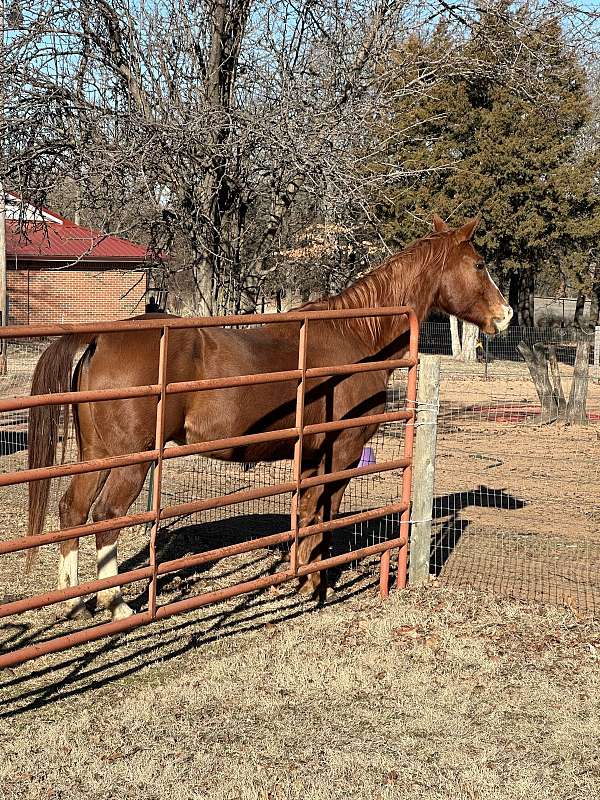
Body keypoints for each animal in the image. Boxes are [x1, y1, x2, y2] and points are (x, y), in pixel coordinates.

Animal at [24, 217, 510, 620]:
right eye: (479, 264)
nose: (504, 315)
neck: (356, 334)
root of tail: (100, 337)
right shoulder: (343, 452)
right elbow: (325, 513)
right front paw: (318, 585)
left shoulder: (312, 455)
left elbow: (306, 513)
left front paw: (303, 578)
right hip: (132, 458)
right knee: (106, 514)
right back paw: (117, 604)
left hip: (98, 453)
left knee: (73, 509)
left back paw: (75, 601)